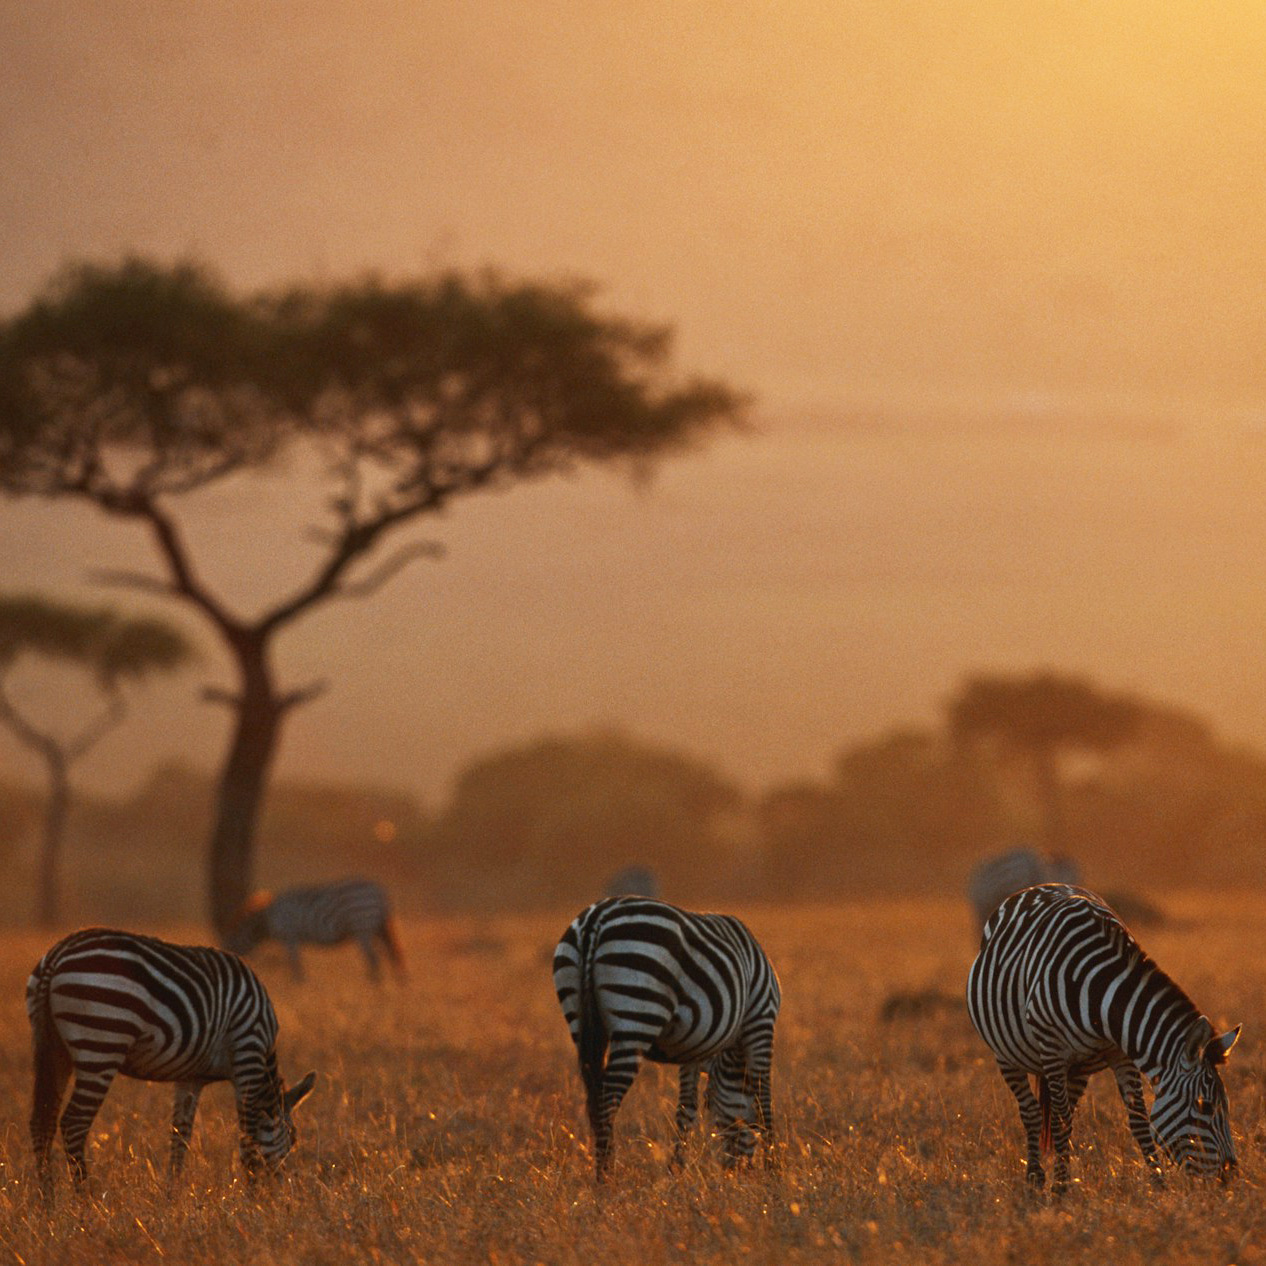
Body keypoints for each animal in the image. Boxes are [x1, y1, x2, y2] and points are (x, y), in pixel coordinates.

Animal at [27, 927, 316, 1197]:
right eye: (293, 1139)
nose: (285, 1195)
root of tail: (56, 955)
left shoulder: (191, 1078)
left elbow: (180, 1135)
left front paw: (172, 1193)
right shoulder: (248, 1051)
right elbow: (249, 1136)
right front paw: (251, 1196)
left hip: (53, 1048)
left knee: (42, 1122)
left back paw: (47, 1201)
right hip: (102, 1043)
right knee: (74, 1123)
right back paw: (85, 1199)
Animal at [226, 877, 405, 981]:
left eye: (234, 937)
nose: (231, 956)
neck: (267, 919)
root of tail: (379, 892)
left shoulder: (289, 936)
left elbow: (294, 963)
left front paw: (298, 984)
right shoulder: (292, 938)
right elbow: (295, 962)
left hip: (362, 928)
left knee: (374, 959)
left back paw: (373, 985)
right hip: (378, 928)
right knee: (390, 953)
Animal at [553, 895, 780, 1179]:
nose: (736, 1172)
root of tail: (597, 918)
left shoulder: (696, 1045)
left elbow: (686, 1109)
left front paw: (676, 1170)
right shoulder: (761, 1020)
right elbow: (764, 1099)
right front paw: (775, 1170)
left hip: (579, 1017)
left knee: (594, 1097)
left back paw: (603, 1173)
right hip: (636, 1014)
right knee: (607, 1100)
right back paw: (607, 1177)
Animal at [967, 883, 1239, 1193]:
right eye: (1205, 1106)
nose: (1230, 1176)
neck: (1102, 993)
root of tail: (1039, 886)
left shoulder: (1122, 1052)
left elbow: (1138, 1119)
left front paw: (1158, 1185)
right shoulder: (1051, 1047)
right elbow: (1058, 1121)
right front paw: (1060, 1188)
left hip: (1078, 1066)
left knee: (1065, 1111)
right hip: (1007, 1054)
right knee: (1033, 1114)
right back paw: (1035, 1178)